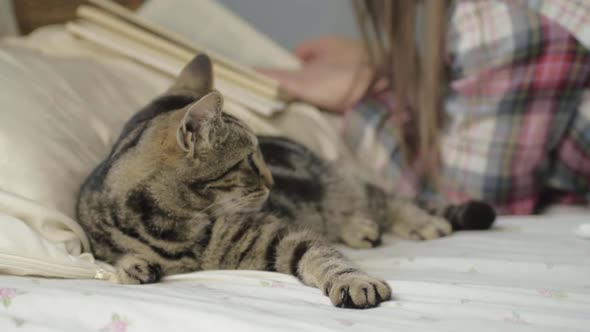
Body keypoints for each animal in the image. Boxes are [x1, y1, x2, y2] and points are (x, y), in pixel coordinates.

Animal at [78, 53, 494, 308]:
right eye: (249, 159)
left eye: (261, 154)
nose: (273, 181)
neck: (170, 228)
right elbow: (112, 257)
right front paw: (132, 266)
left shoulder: (280, 235)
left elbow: (323, 256)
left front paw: (354, 282)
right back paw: (361, 228)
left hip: (338, 183)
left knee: (387, 200)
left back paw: (420, 222)